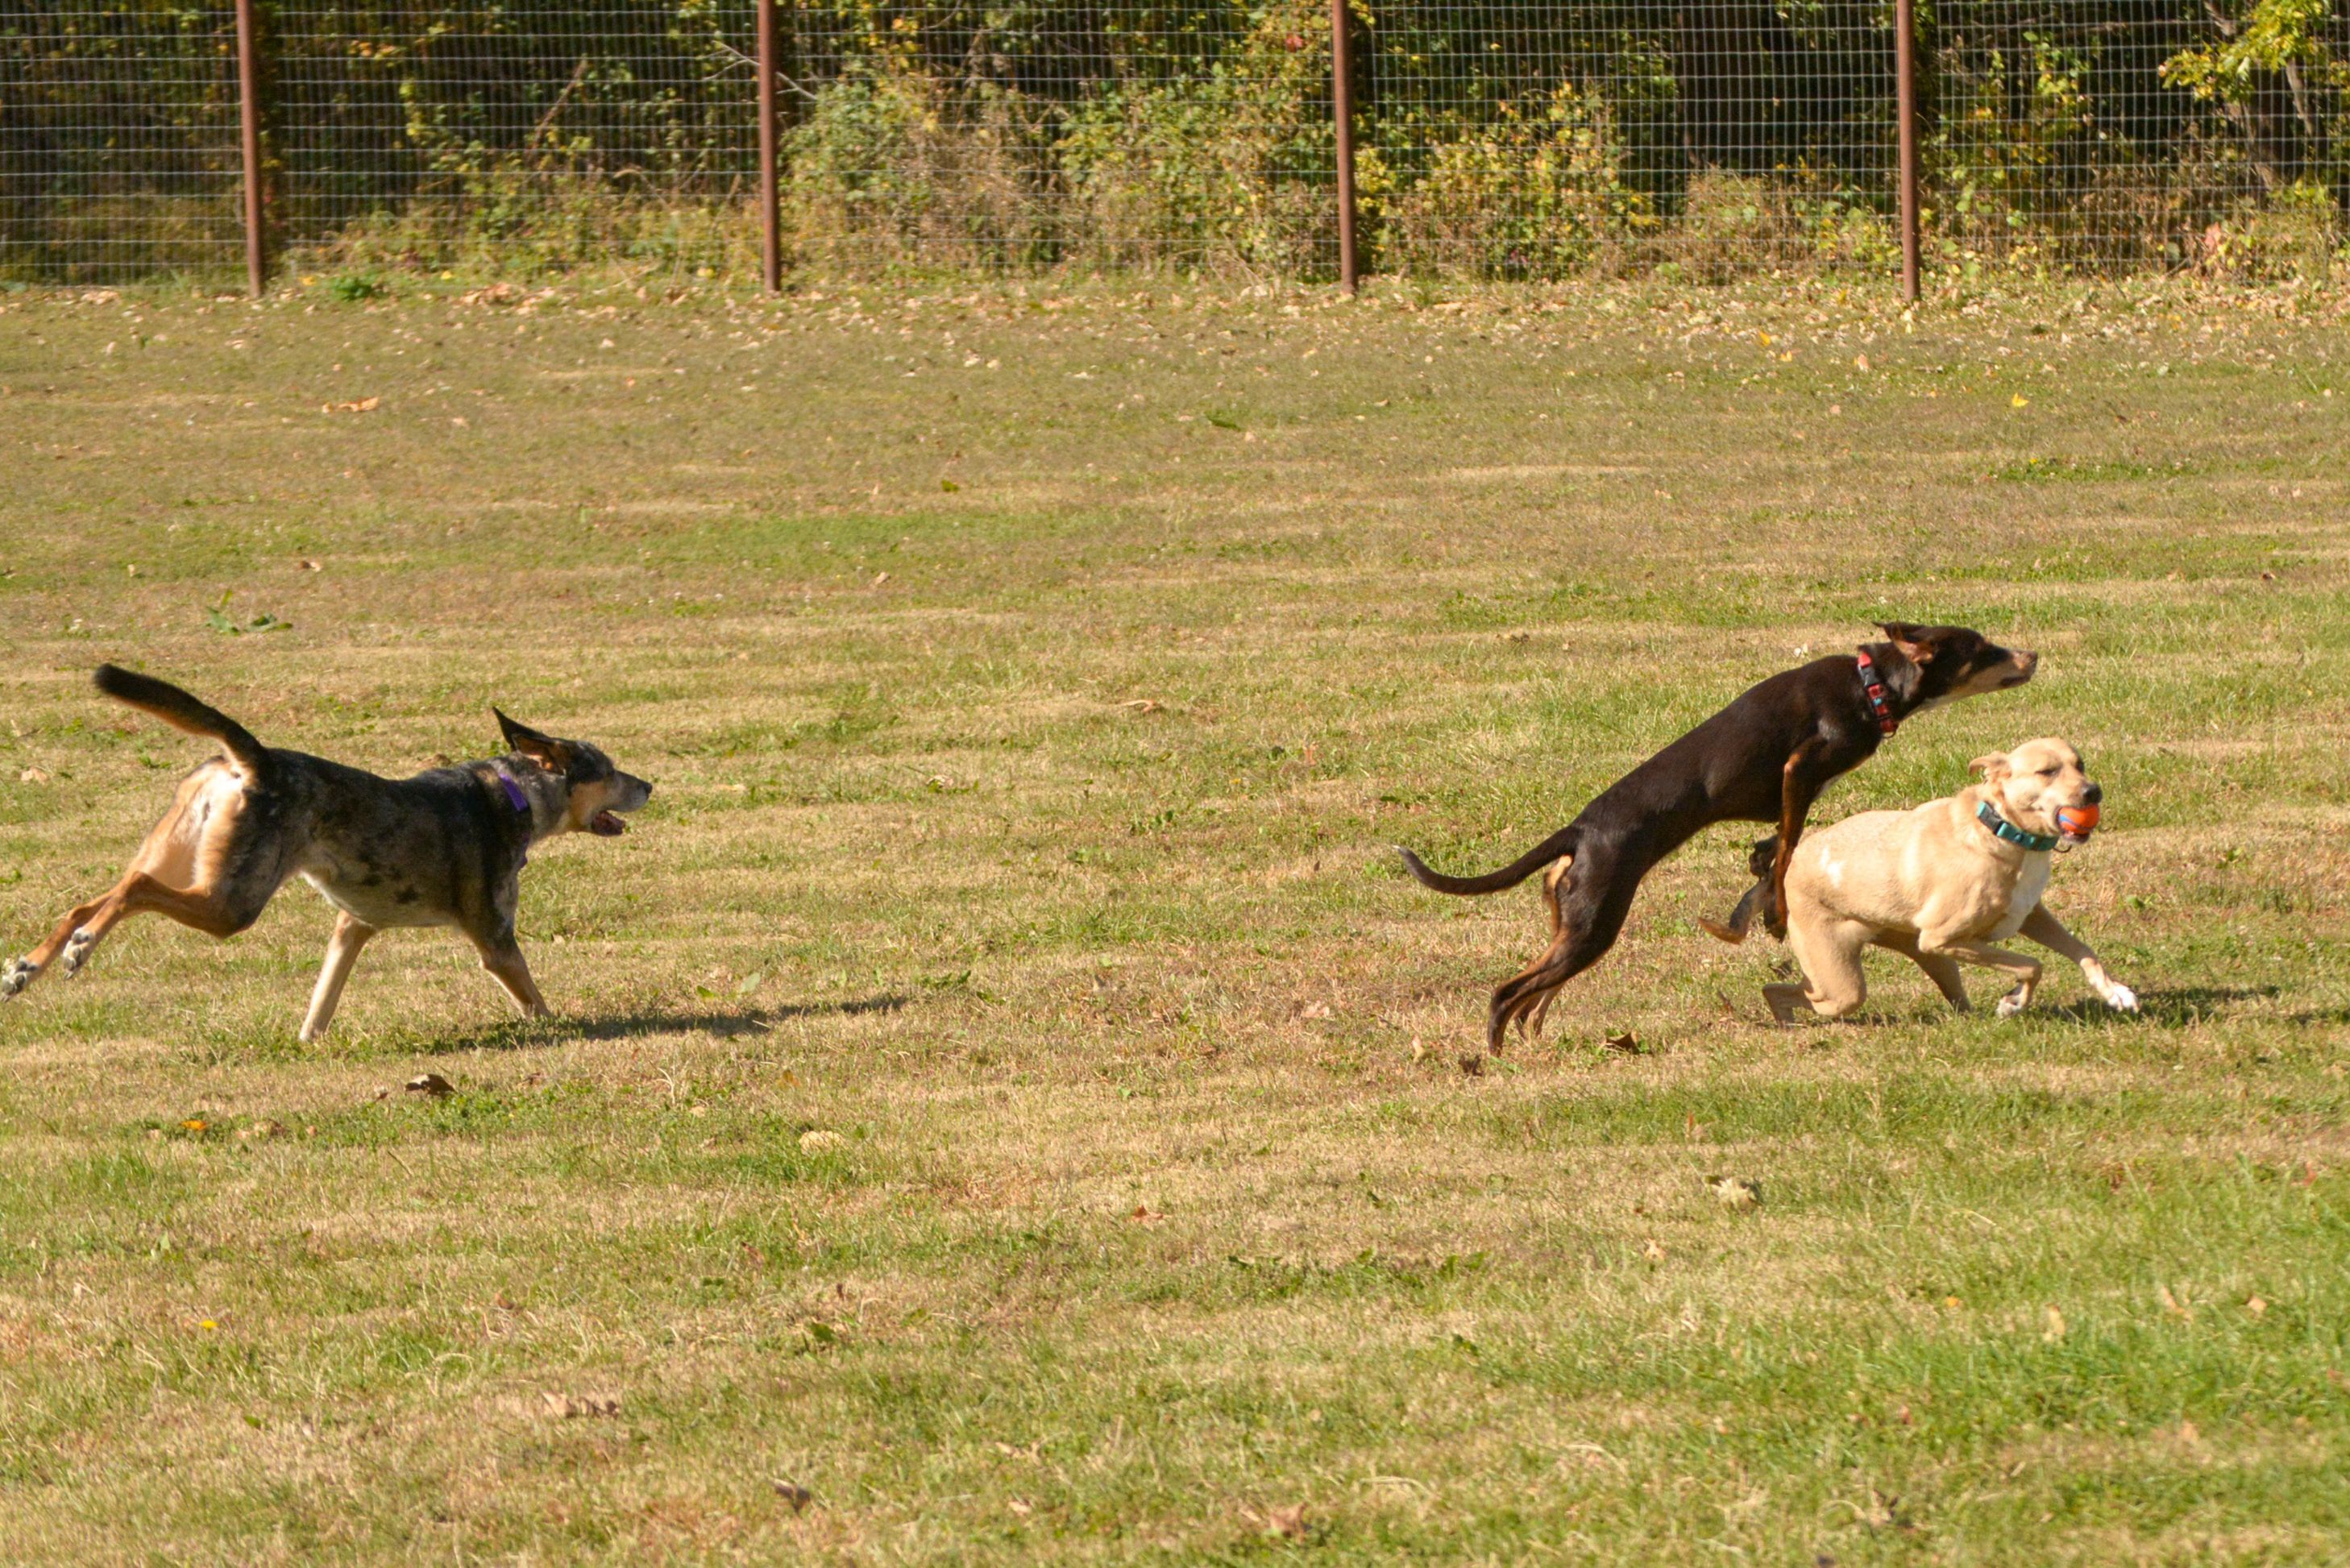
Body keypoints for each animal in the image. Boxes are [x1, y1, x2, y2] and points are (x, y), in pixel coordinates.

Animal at [1767, 738, 2133, 1025]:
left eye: (2080, 764)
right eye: (2046, 771)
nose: (2093, 791)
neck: (1999, 830)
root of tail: (1792, 860)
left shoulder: (2030, 915)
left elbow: (2082, 950)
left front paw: (2115, 992)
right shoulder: (1942, 938)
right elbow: (2032, 965)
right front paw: (2013, 1002)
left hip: (1933, 960)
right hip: (1844, 985)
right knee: (1782, 991)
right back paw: (1785, 1022)